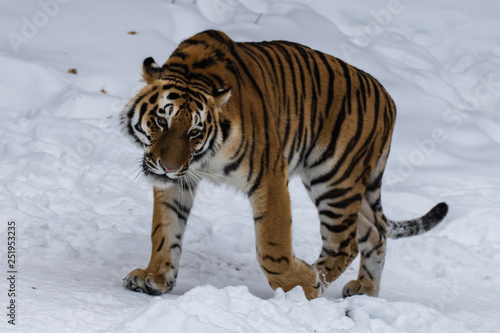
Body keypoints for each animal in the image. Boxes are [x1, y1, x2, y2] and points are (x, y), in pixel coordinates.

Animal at [119, 29, 448, 298]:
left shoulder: (269, 174)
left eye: (194, 132)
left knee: (346, 243)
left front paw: (299, 283)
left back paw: (314, 284)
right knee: (375, 231)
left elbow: (272, 245)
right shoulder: (178, 182)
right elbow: (165, 230)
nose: (169, 168)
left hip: (335, 179)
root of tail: (388, 98)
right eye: (162, 121)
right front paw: (155, 276)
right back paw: (365, 289)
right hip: (348, 186)